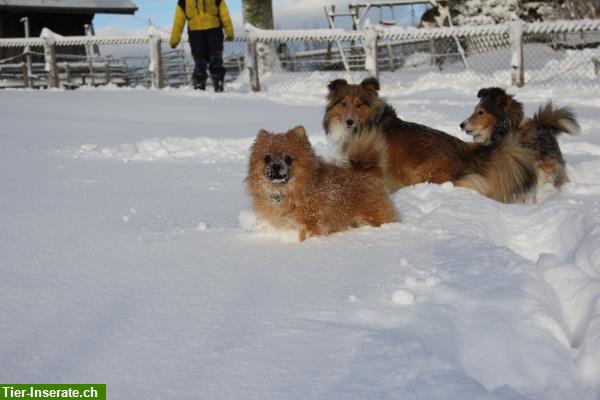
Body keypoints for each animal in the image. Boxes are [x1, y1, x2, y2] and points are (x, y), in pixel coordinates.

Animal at [244, 126, 398, 242]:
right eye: (267, 158)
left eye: (288, 159)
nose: (276, 166)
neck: (286, 192)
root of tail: (369, 173)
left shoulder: (313, 223)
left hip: (371, 217)